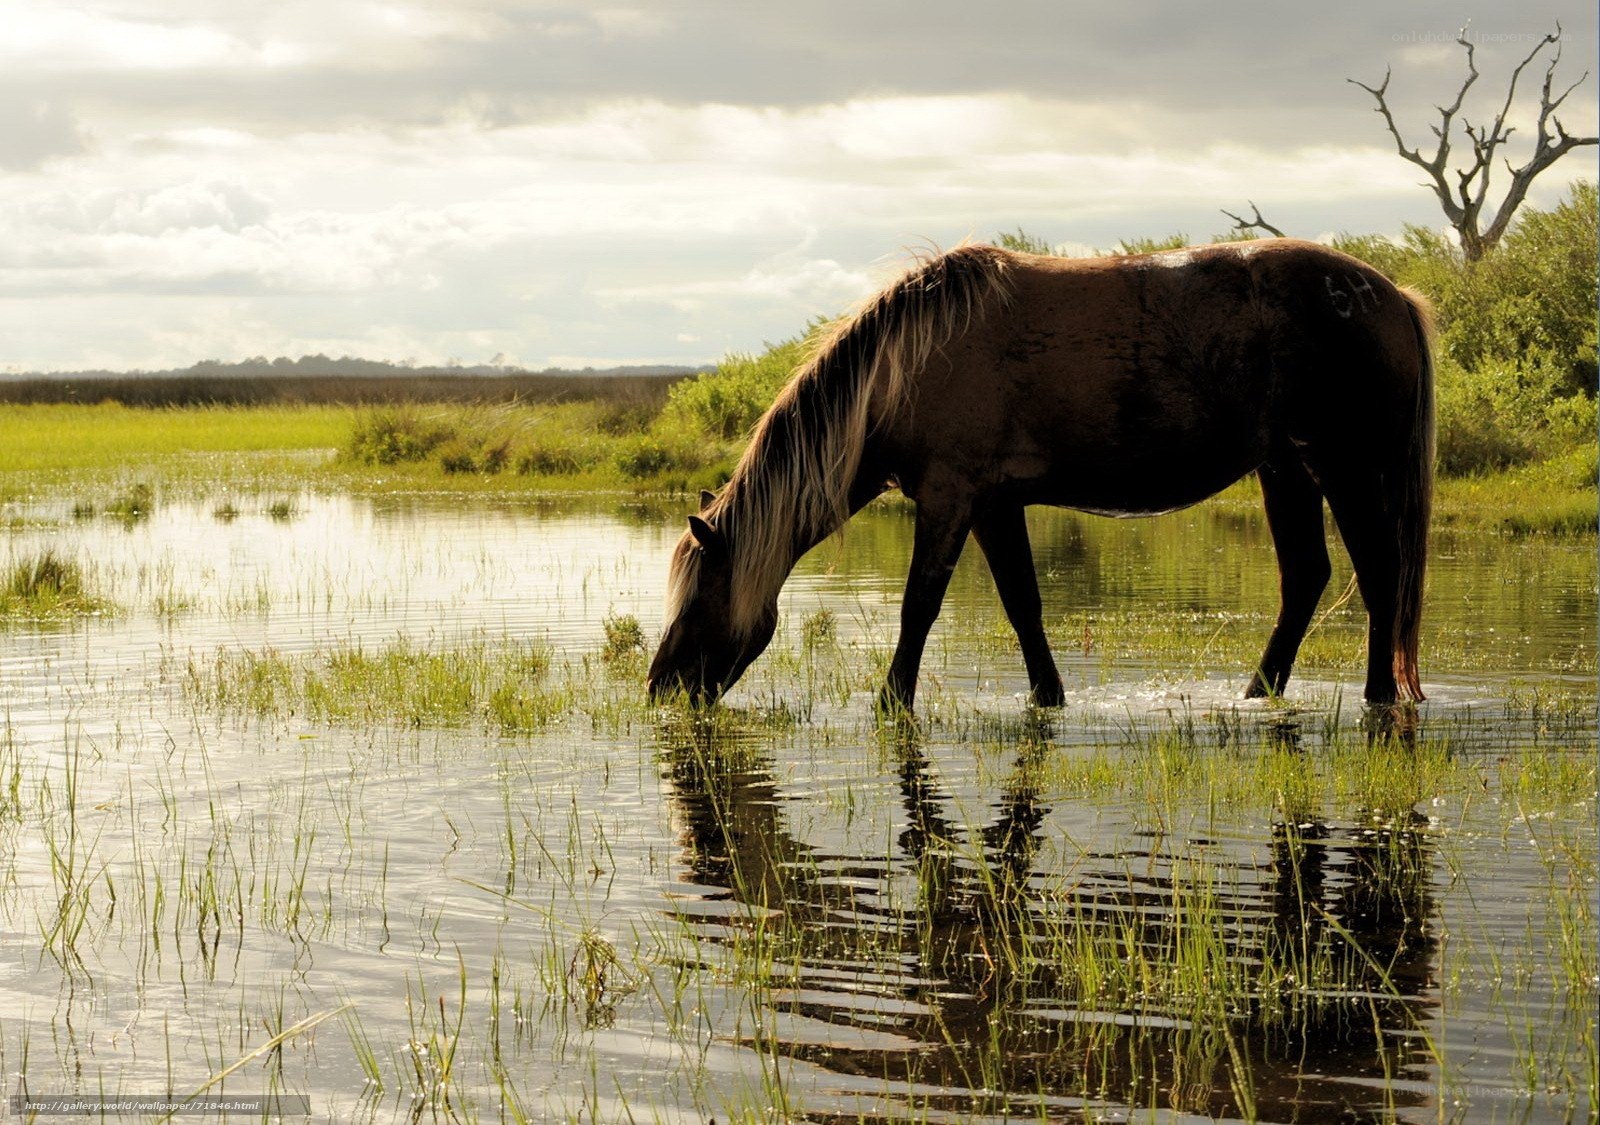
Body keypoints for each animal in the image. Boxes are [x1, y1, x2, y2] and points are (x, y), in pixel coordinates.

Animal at [647, 238, 1435, 712]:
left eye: (700, 595)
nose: (660, 686)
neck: (906, 366)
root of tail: (1392, 295)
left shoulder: (950, 499)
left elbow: (918, 607)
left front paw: (891, 702)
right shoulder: (995, 506)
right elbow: (1023, 604)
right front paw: (1047, 697)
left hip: (1345, 467)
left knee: (1379, 574)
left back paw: (1376, 697)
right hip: (1285, 468)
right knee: (1306, 578)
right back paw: (1257, 693)